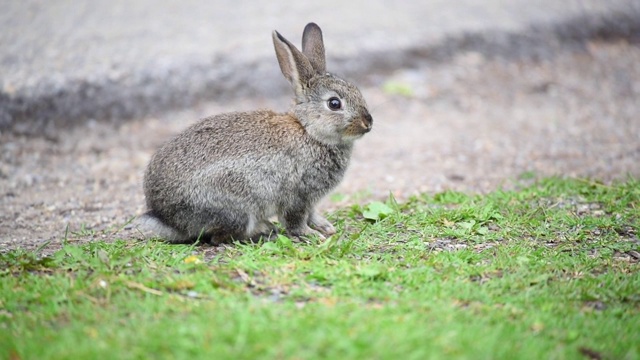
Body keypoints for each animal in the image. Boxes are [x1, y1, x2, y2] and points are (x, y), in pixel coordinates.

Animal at [140, 23, 370, 245]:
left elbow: (312, 214)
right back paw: (265, 233)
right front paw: (310, 235)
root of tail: (166, 217)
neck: (308, 131)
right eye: (334, 104)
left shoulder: (310, 200)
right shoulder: (297, 195)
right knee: (219, 238)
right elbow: (295, 220)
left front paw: (325, 227)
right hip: (236, 206)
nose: (368, 122)